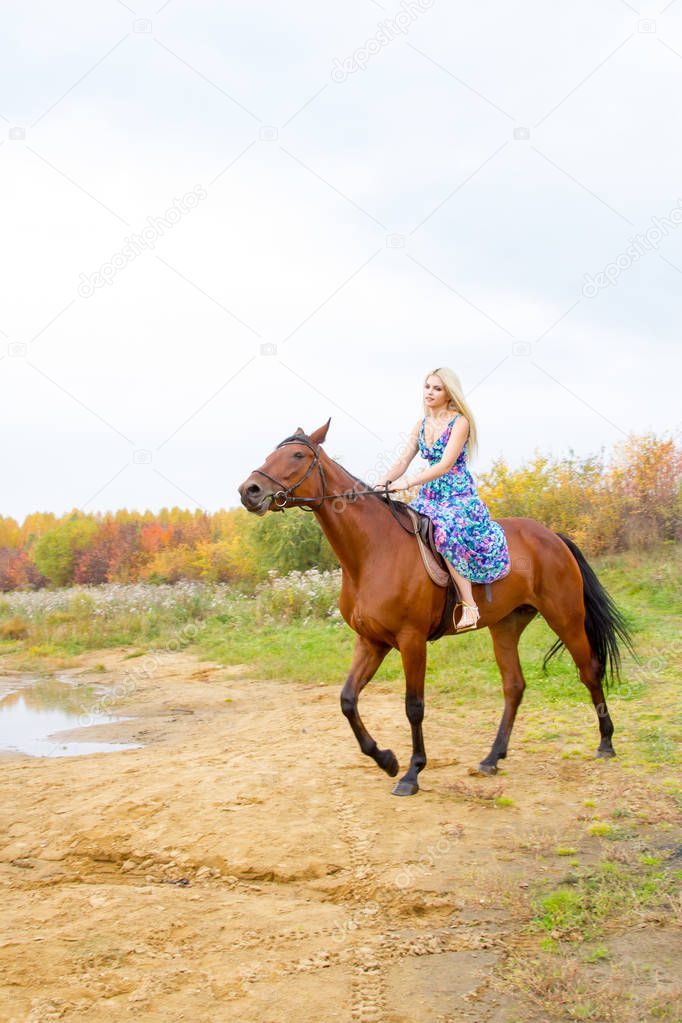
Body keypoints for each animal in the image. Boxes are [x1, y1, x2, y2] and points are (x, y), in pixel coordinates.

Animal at [237, 419, 638, 793]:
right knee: (514, 686)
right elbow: (347, 699)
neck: (372, 551)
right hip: (506, 626)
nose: (249, 491)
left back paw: (605, 743)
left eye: (297, 455)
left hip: (565, 617)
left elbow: (414, 706)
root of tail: (552, 536)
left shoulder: (411, 641)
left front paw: (412, 773)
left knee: (589, 670)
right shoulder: (371, 641)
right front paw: (386, 760)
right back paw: (492, 758)